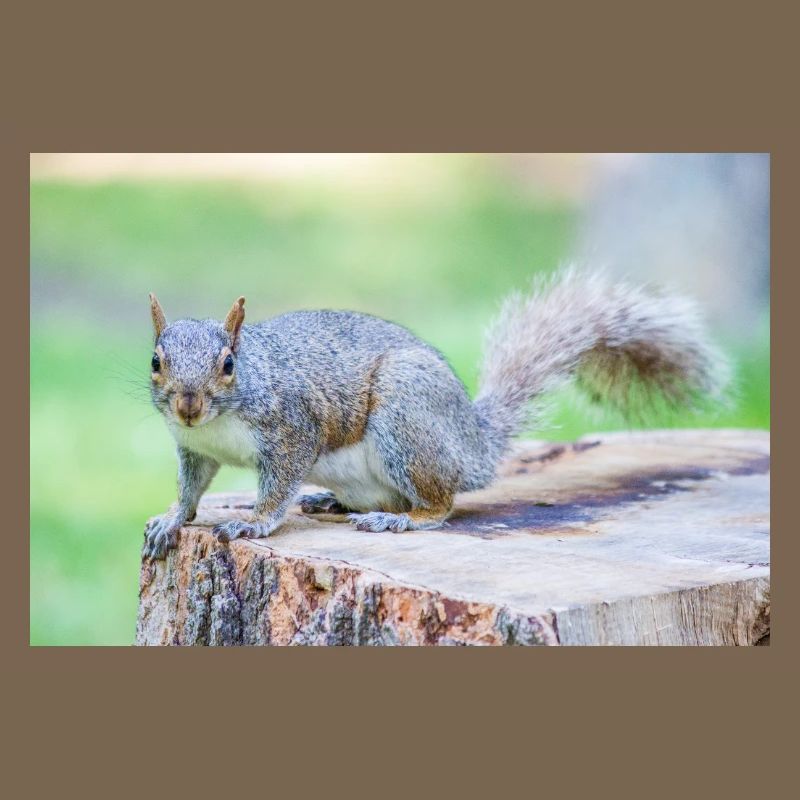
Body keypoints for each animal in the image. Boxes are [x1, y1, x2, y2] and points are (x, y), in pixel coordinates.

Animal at [143, 268, 729, 559]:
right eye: (155, 360)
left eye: (228, 364)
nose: (188, 405)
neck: (219, 423)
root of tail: (473, 444)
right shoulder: (193, 449)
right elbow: (192, 489)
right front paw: (172, 519)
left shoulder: (293, 431)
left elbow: (277, 484)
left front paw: (254, 522)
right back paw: (331, 501)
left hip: (407, 419)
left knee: (440, 504)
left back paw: (401, 518)